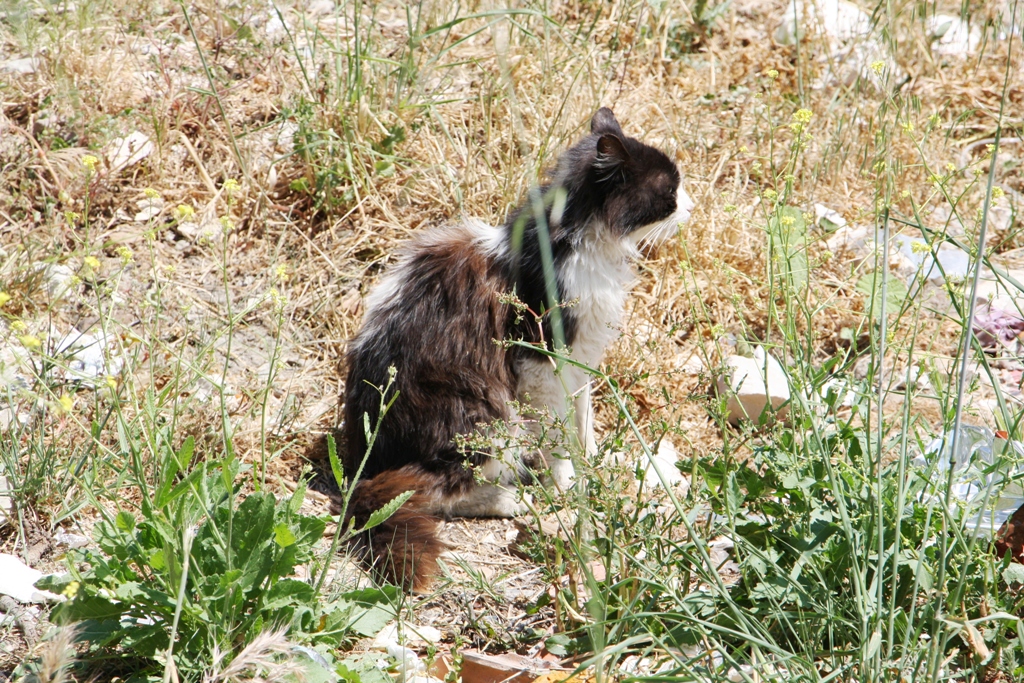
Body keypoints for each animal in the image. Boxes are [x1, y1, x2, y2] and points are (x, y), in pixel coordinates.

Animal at [339, 109, 692, 589]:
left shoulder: (581, 359)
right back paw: (509, 499)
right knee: (433, 492)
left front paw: (597, 461)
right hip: (487, 421)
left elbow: (585, 423)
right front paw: (568, 482)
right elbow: (560, 437)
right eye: (669, 192)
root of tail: (366, 464)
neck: (581, 242)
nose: (691, 205)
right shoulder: (542, 361)